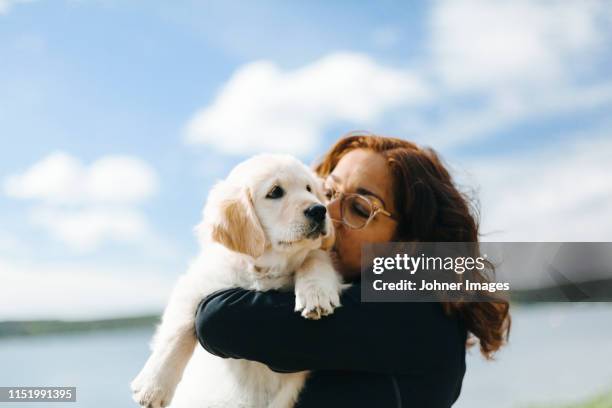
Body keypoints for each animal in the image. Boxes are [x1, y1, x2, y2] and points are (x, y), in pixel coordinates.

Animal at [131, 154, 344, 408]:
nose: (319, 210)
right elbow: (177, 330)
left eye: (309, 188)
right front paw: (153, 386)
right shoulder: (198, 281)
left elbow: (314, 257)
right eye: (275, 192)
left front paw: (316, 294)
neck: (266, 267)